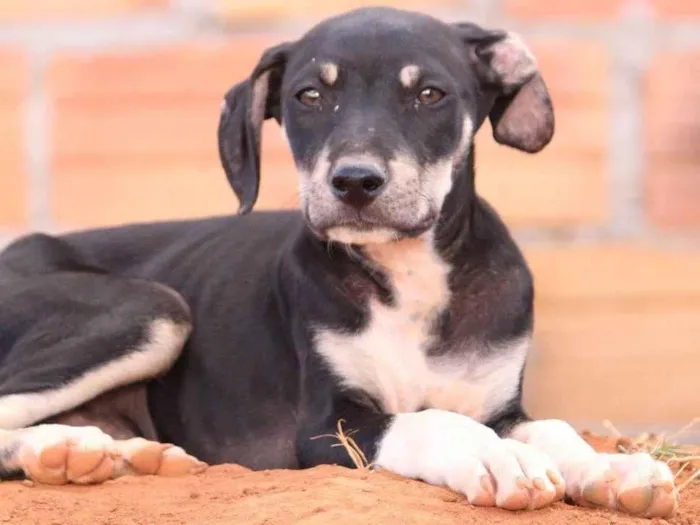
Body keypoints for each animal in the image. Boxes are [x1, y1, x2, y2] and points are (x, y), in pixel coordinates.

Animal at [0, 6, 680, 516]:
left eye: (429, 94)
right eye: (309, 96)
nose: (355, 181)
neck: (410, 279)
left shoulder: (501, 404)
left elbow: (553, 428)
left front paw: (610, 468)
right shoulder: (327, 426)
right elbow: (427, 422)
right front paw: (494, 455)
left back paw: (111, 453)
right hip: (153, 306)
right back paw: (67, 447)